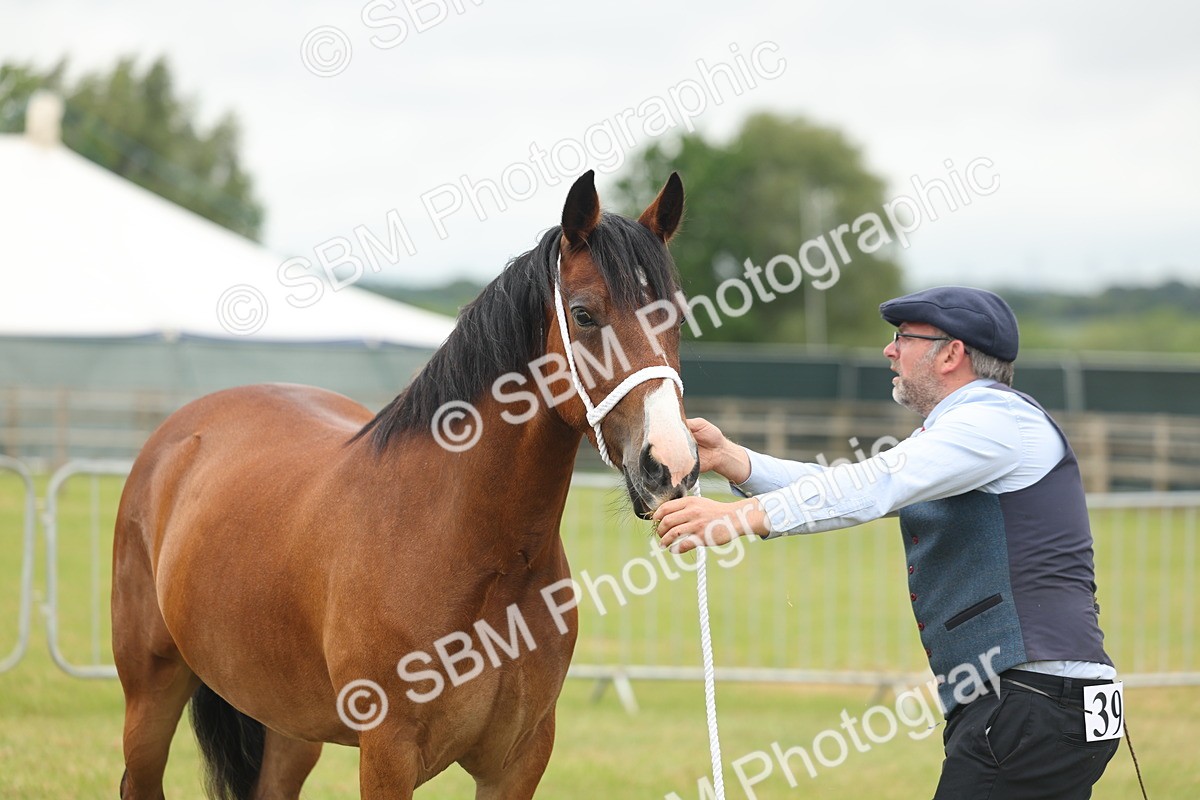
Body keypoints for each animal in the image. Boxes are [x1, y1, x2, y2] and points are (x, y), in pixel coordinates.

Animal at [111, 169, 699, 799]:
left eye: (677, 317)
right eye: (585, 314)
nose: (670, 465)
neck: (472, 551)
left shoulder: (519, 760)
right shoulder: (388, 754)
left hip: (289, 728)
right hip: (150, 695)